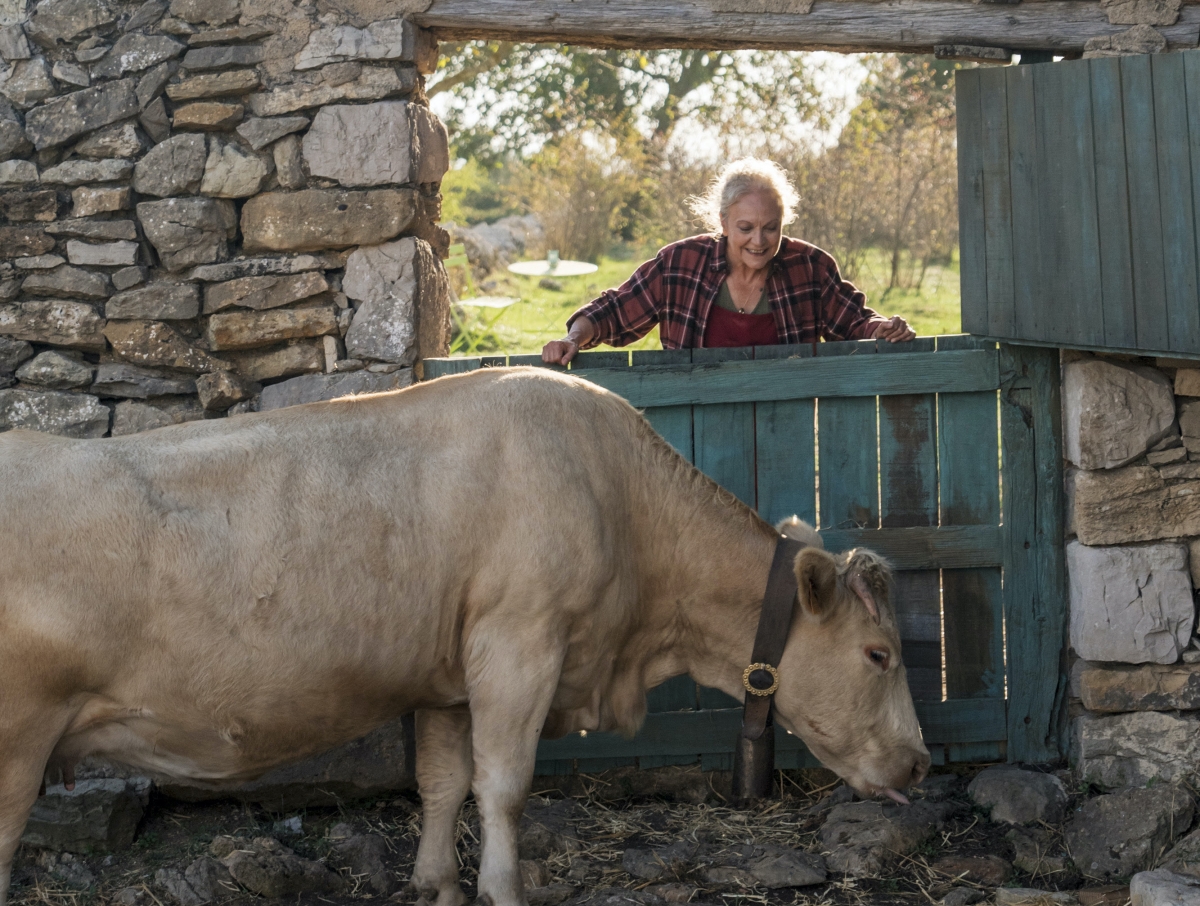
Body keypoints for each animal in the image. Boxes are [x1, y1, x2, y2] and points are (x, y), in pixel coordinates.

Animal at [0, 366, 929, 906]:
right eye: (879, 654)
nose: (920, 763)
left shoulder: (447, 676)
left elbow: (443, 785)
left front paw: (437, 884)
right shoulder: (520, 643)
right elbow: (504, 786)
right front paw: (503, 890)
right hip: (16, 741)